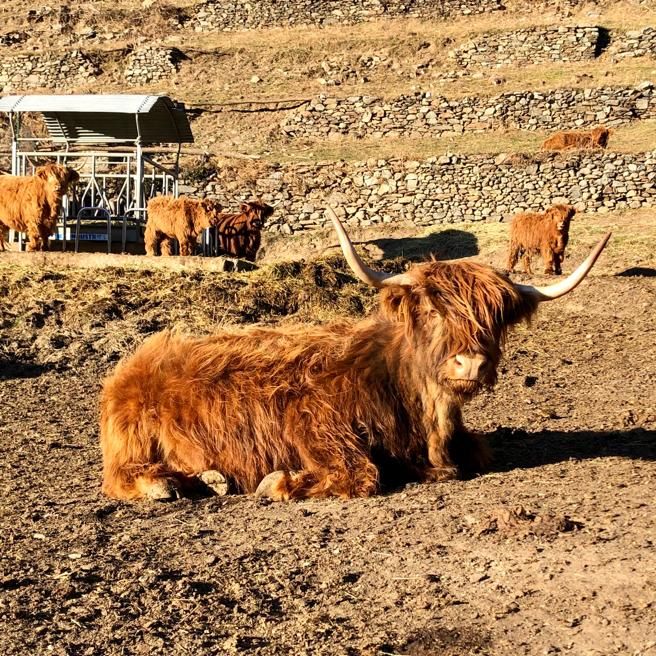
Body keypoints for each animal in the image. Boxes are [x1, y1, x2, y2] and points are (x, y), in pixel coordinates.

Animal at [99, 207, 610, 502]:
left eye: (499, 317)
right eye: (431, 309)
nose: (471, 364)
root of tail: (128, 367)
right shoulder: (314, 421)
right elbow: (363, 473)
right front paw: (277, 482)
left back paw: (210, 479)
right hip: (132, 445)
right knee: (121, 477)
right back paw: (171, 484)